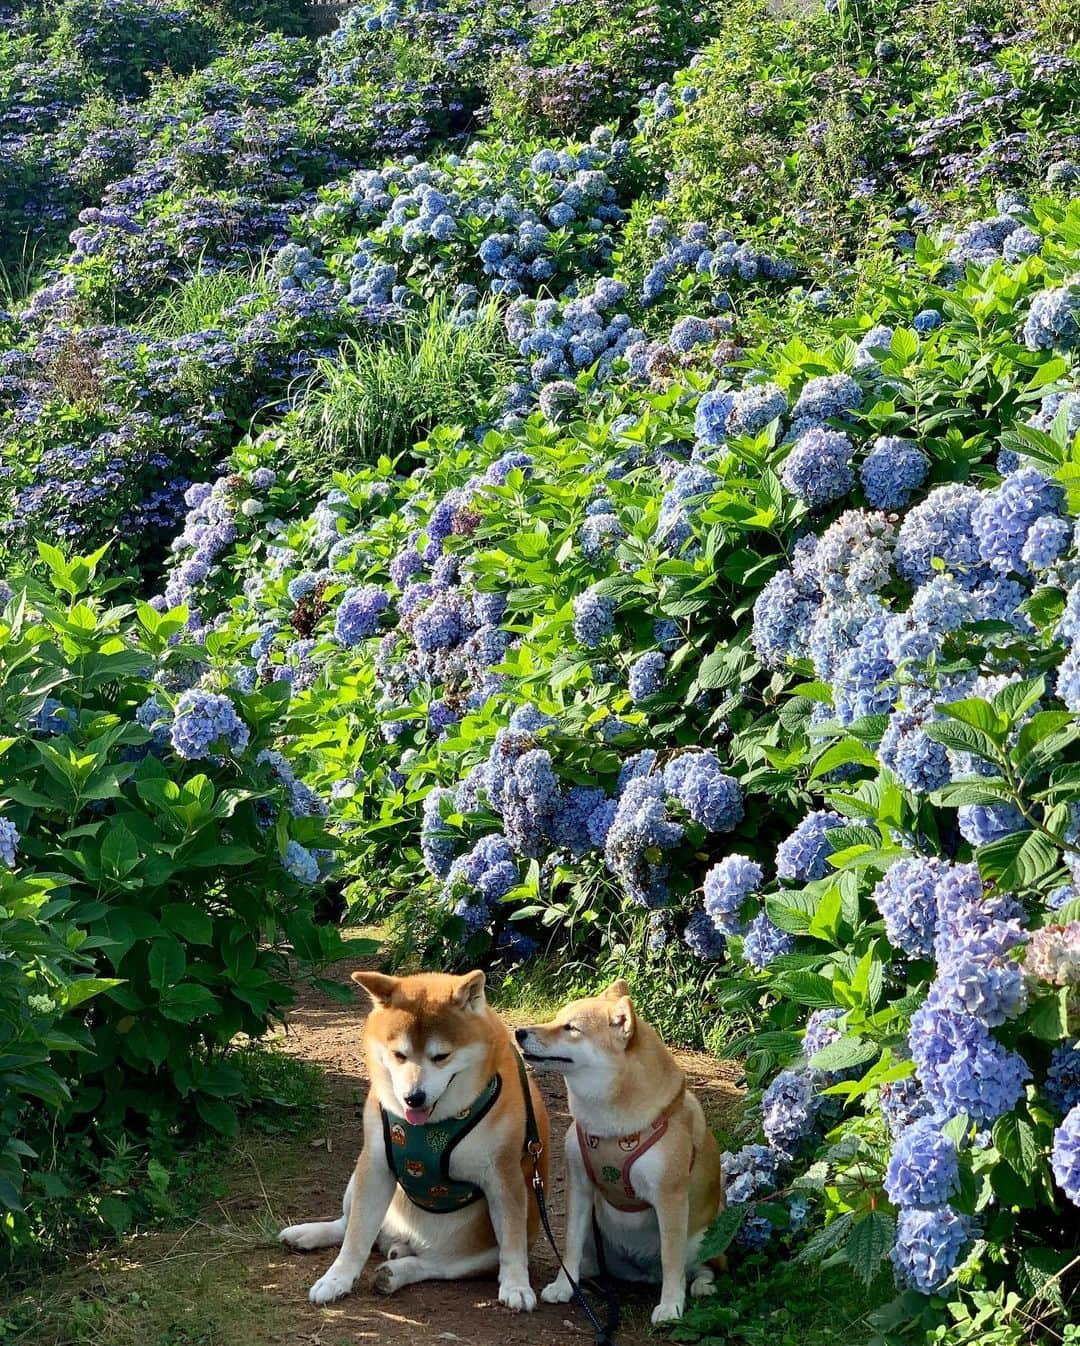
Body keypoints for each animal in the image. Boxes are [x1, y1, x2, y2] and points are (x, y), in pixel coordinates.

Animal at [280, 974, 546, 1308]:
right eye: (399, 1055)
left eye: (441, 1056)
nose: (413, 1097)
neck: (434, 1124)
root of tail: (398, 1241)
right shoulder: (376, 1166)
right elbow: (355, 1237)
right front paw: (336, 1278)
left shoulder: (504, 1176)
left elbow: (512, 1242)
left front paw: (516, 1285)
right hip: (357, 1180)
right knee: (348, 1225)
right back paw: (308, 1234)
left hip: (477, 1254)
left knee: (436, 1265)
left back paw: (395, 1272)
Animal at [514, 979, 721, 1324]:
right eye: (556, 1018)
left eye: (571, 1028)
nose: (519, 1032)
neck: (611, 1129)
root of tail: (640, 1273)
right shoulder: (580, 1185)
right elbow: (570, 1245)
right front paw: (564, 1286)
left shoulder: (670, 1197)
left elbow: (672, 1260)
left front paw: (670, 1305)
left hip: (704, 1236)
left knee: (700, 1268)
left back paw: (701, 1286)